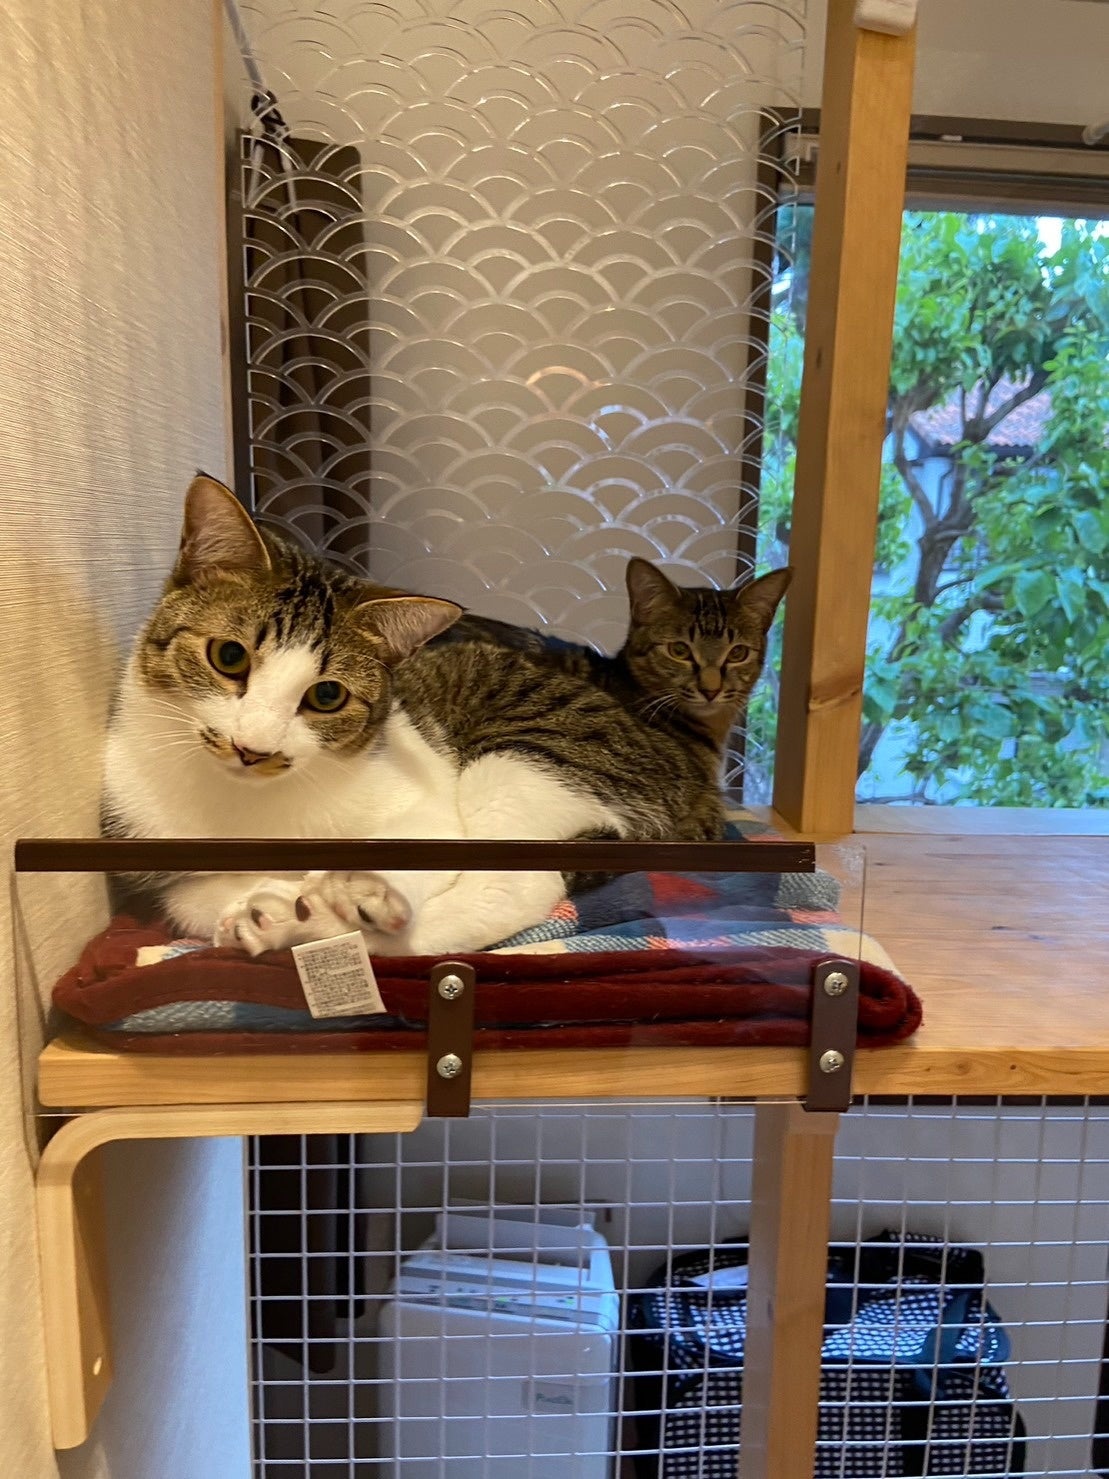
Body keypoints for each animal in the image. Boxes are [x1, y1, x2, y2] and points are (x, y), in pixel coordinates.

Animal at [102, 476, 727, 958]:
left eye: (325, 696)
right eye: (228, 656)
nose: (253, 749)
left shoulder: (429, 801)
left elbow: (425, 843)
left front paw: (357, 892)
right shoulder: (147, 850)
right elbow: (195, 898)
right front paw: (270, 906)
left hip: (539, 747)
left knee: (517, 882)